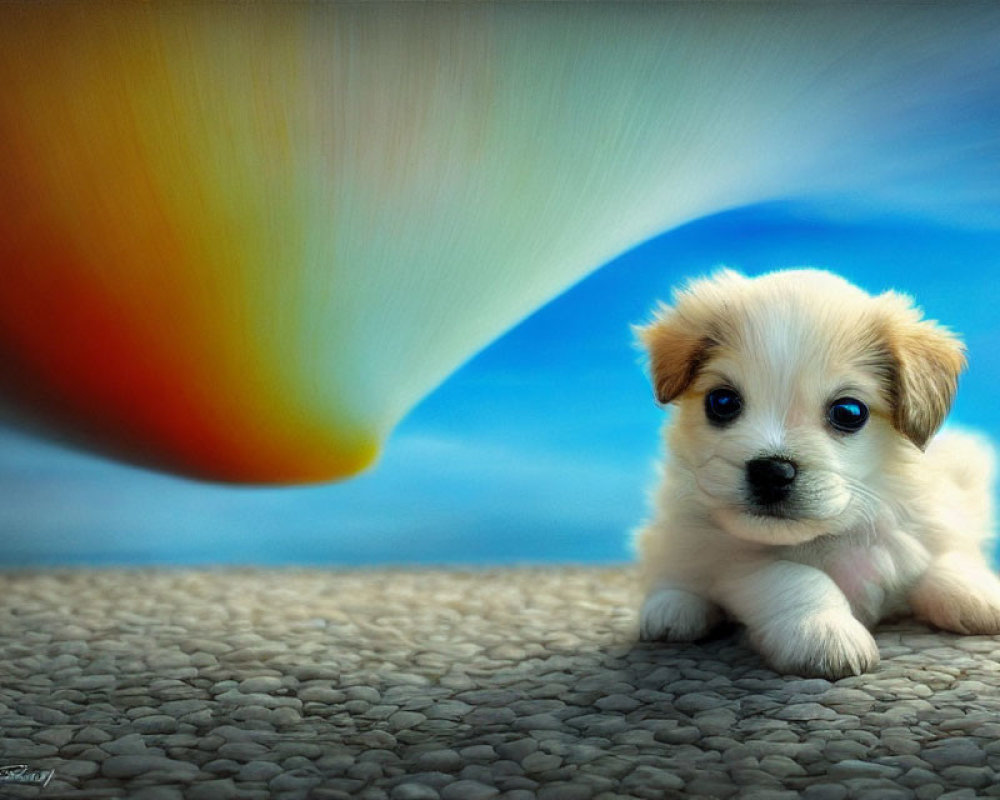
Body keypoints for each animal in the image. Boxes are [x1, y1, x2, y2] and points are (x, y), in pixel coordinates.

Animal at [632, 268, 1000, 676]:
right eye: (722, 401)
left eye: (848, 412)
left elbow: (945, 557)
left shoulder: (925, 525)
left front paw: (978, 592)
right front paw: (824, 630)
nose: (772, 472)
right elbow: (799, 578)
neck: (830, 537)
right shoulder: (729, 556)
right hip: (673, 533)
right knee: (669, 569)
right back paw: (673, 608)